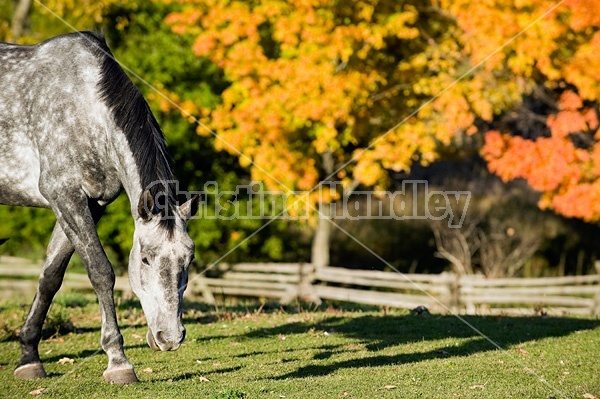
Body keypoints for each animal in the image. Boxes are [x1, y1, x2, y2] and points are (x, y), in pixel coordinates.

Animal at [0, 32, 202, 384]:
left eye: (189, 259)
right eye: (145, 259)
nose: (170, 337)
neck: (85, 107)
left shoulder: (90, 203)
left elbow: (50, 276)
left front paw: (28, 357)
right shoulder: (64, 194)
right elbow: (100, 272)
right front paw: (118, 361)